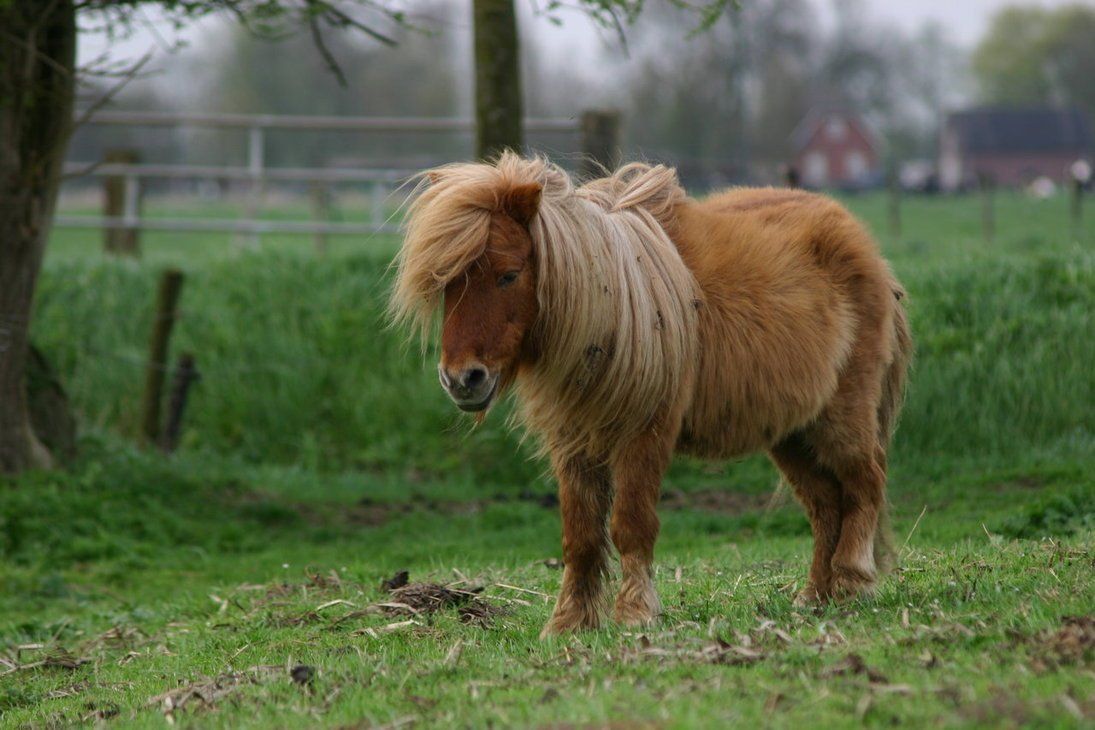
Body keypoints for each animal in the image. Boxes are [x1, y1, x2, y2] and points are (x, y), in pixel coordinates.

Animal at [389, 153, 911, 634]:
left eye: (509, 274)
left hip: (842, 418)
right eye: (447, 282)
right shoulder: (573, 440)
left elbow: (631, 525)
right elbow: (580, 536)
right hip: (792, 433)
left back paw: (852, 581)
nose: (463, 379)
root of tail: (865, 247)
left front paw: (636, 612)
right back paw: (815, 598)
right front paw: (569, 622)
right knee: (826, 506)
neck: (612, 307)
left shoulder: (645, 432)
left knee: (865, 485)